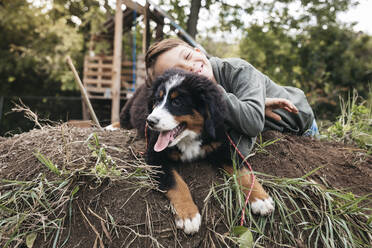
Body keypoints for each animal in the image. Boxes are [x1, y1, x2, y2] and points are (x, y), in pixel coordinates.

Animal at [145, 68, 274, 234]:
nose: (150, 121)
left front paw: (260, 199)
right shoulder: (155, 156)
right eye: (157, 100)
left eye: (177, 102)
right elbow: (176, 182)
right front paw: (188, 215)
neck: (189, 138)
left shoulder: (224, 147)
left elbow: (243, 172)